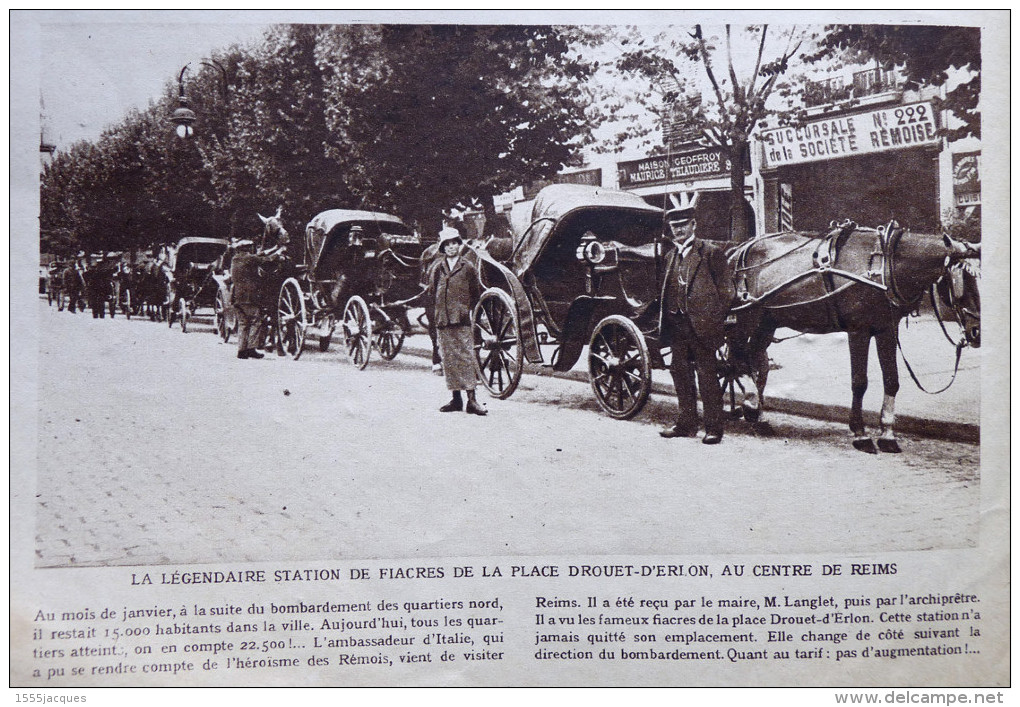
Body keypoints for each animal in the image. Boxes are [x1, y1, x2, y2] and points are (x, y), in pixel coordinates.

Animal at [726, 220, 979, 452]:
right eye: (960, 281)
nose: (976, 332)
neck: (884, 264)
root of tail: (739, 249)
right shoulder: (859, 330)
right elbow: (859, 382)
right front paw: (860, 434)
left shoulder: (886, 329)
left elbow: (892, 380)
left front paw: (887, 435)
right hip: (747, 318)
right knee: (739, 359)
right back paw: (750, 404)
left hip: (767, 322)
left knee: (756, 361)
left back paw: (758, 417)